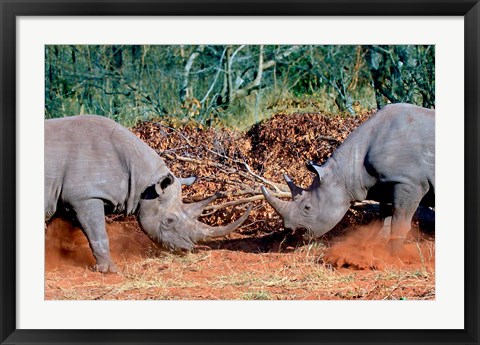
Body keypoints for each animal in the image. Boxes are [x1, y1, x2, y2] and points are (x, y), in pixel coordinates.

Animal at [45, 115, 251, 272]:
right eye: (169, 221)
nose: (187, 249)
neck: (144, 181)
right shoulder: (86, 196)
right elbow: (98, 232)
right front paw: (110, 271)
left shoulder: (72, 197)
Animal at [262, 103, 436, 253]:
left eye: (307, 207)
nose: (289, 229)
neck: (348, 169)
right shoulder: (386, 183)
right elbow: (384, 221)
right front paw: (374, 252)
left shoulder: (409, 181)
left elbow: (399, 221)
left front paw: (394, 256)